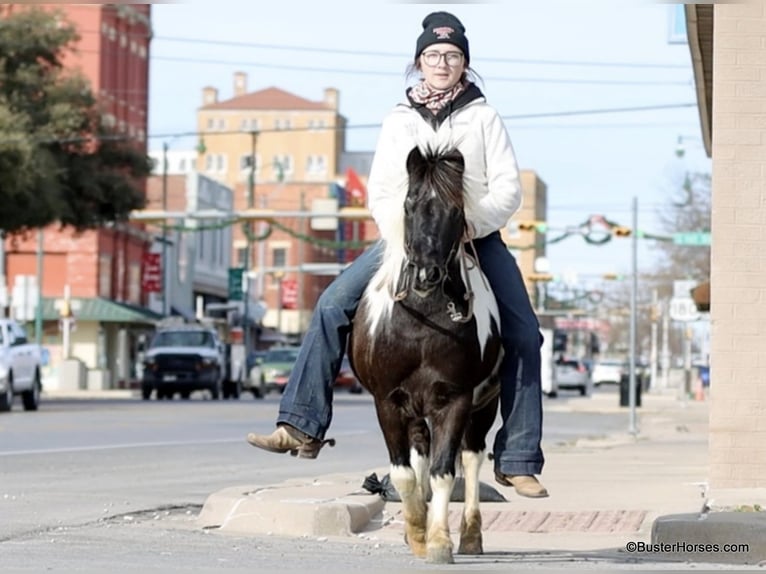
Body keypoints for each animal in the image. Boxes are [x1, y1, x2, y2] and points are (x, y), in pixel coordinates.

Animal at [352, 146, 508, 564]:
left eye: (456, 211)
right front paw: (418, 535)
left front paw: (439, 541)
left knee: (470, 458)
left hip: (483, 406)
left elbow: (443, 472)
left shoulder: (455, 399)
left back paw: (470, 535)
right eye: (409, 204)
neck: (422, 325)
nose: (426, 276)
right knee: (420, 455)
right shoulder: (387, 401)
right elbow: (405, 473)